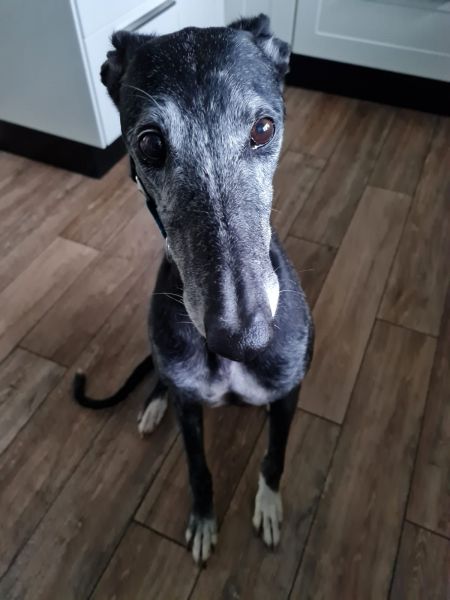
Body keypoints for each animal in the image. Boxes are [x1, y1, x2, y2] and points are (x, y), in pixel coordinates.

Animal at [73, 14, 314, 565]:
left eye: (263, 128)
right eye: (149, 144)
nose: (241, 339)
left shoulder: (288, 393)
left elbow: (275, 456)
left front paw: (268, 506)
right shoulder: (191, 411)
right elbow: (198, 468)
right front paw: (203, 520)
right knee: (164, 381)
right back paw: (153, 404)